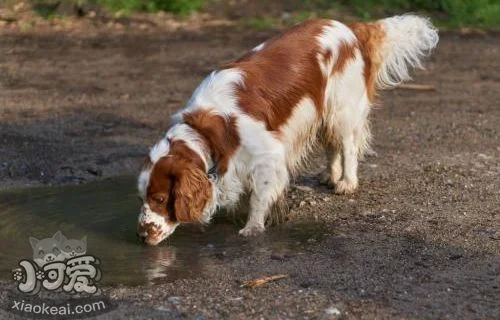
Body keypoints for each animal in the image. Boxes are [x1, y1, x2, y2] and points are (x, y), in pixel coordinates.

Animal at [137, 14, 438, 245]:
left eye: (160, 198)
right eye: (143, 197)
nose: (141, 235)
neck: (208, 130)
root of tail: (349, 27)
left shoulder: (267, 155)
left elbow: (259, 196)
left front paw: (252, 226)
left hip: (340, 110)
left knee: (348, 146)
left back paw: (347, 182)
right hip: (321, 114)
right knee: (332, 146)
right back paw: (330, 176)